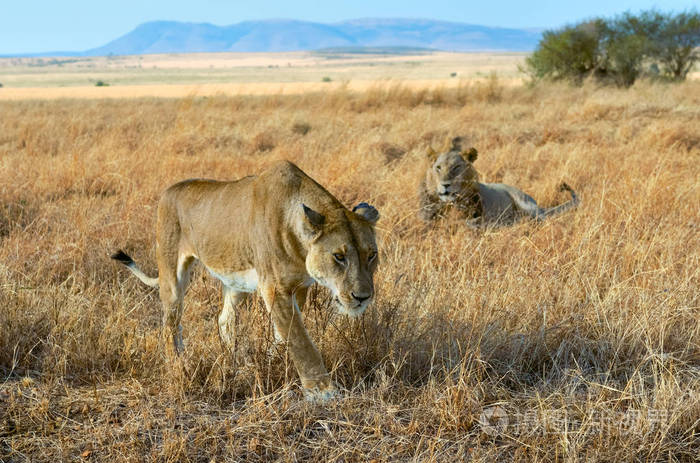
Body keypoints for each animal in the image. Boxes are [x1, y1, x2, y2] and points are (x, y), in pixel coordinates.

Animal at [112, 161, 380, 400]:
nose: (363, 297)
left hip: (235, 281)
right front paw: (324, 392)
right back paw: (178, 363)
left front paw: (271, 359)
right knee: (170, 321)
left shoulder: (299, 287)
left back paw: (236, 359)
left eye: (371, 255)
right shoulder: (274, 288)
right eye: (339, 257)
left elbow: (284, 334)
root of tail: (170, 190)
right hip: (171, 272)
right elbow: (300, 340)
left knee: (224, 319)